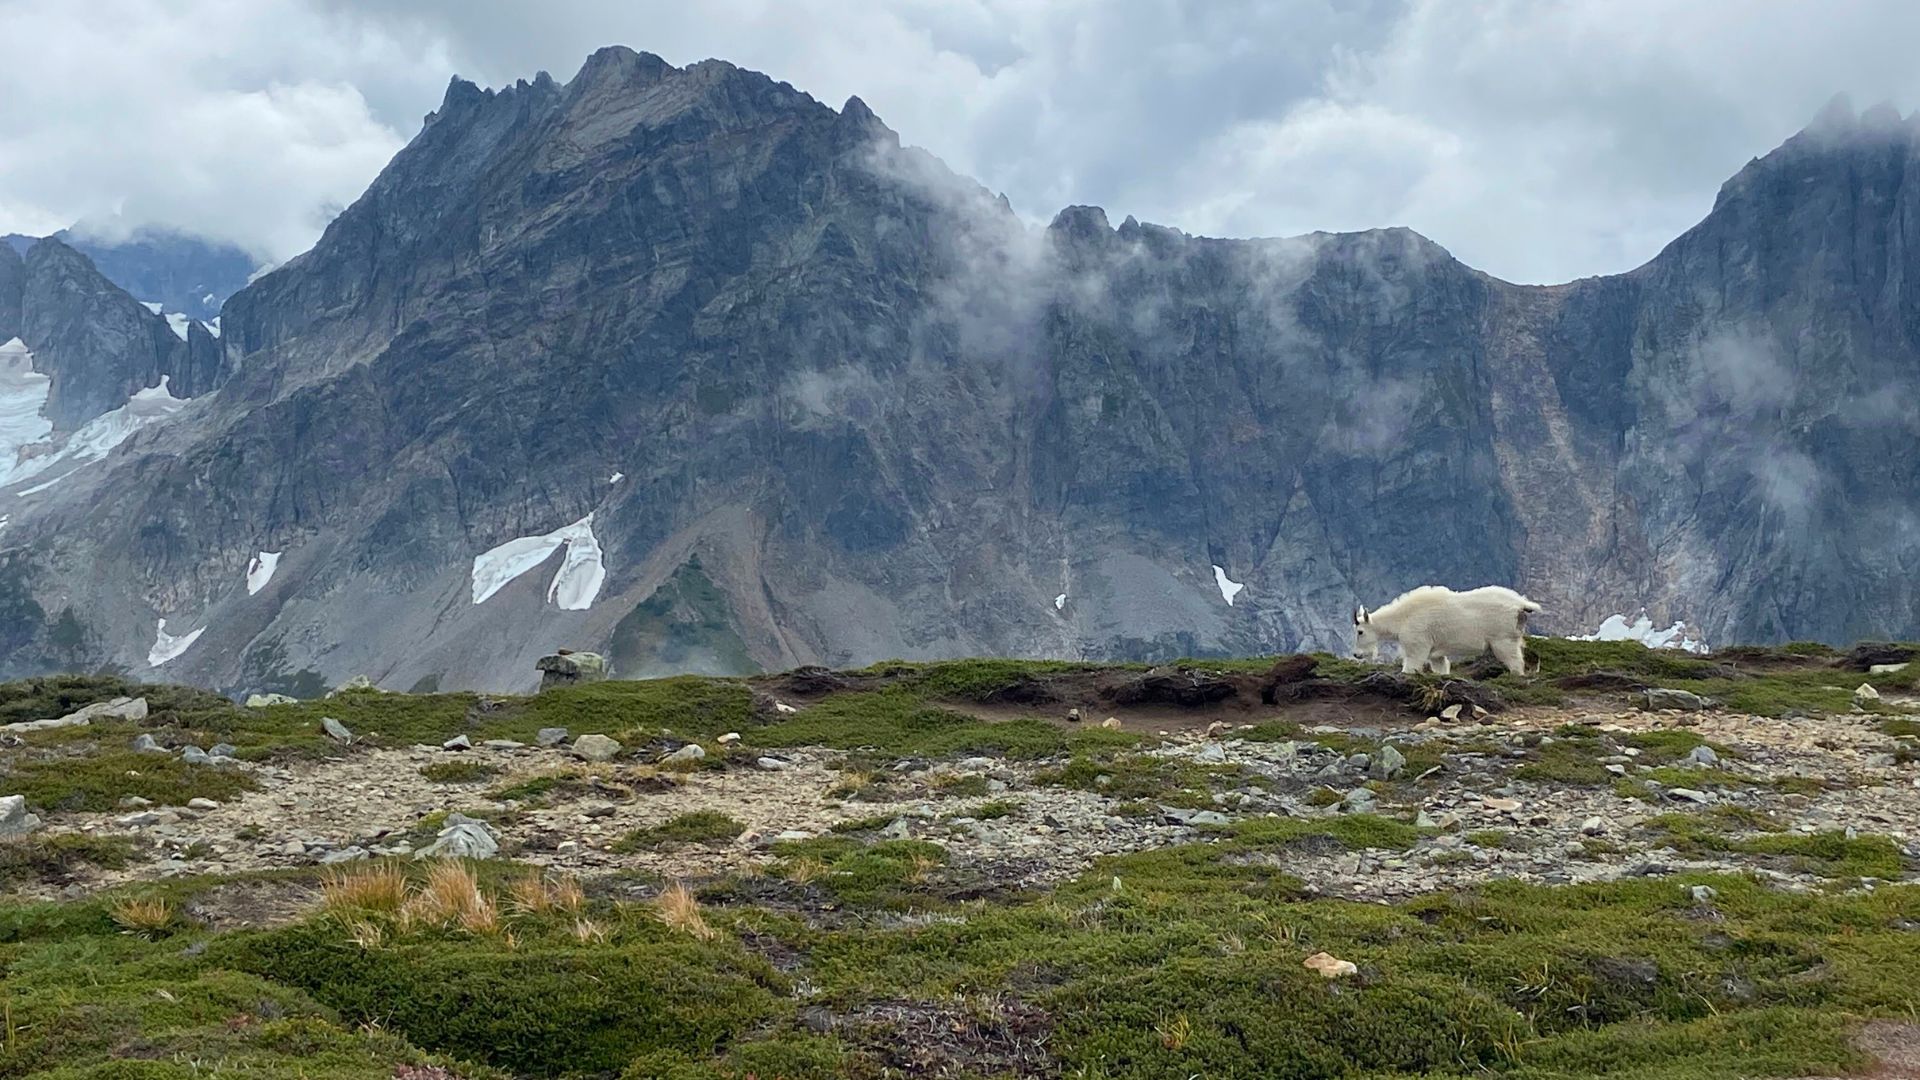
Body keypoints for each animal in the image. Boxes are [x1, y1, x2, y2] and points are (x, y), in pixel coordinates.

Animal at [1351, 580, 1543, 672]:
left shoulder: (1417, 644)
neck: (1402, 619)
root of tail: (1520, 604)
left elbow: (1411, 666)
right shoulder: (1436, 653)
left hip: (1502, 639)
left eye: (1360, 632)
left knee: (1515, 662)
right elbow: (1441, 667)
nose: (1357, 654)